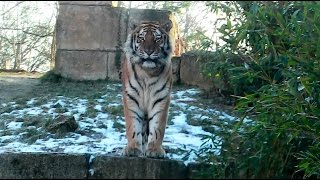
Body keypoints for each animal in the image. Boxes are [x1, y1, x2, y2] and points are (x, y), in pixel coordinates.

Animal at [120, 20, 174, 159]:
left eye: (157, 39)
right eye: (141, 38)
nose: (149, 51)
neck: (147, 73)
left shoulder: (161, 98)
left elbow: (158, 126)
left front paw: (155, 150)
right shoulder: (131, 97)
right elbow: (133, 125)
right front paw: (133, 149)